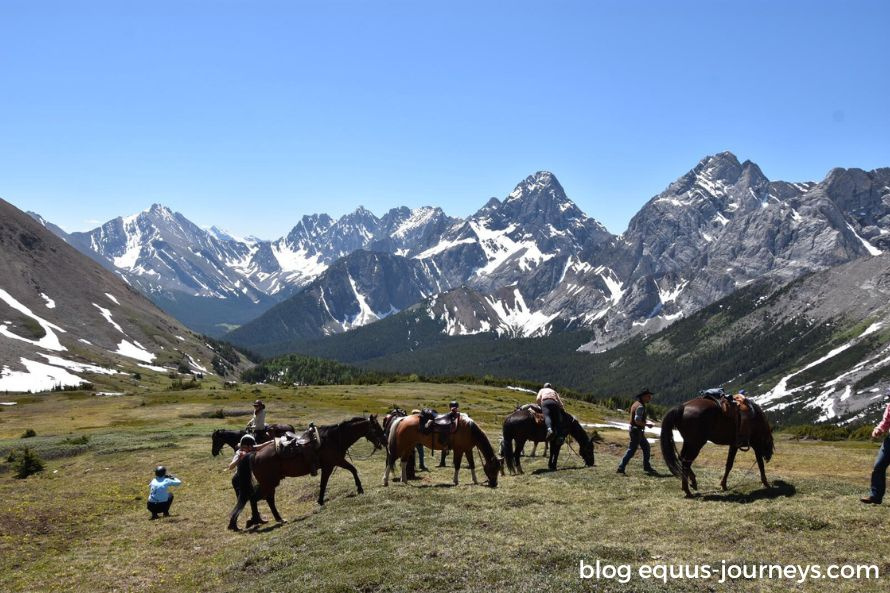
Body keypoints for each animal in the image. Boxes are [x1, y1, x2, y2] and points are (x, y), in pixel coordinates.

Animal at [227, 414, 384, 528]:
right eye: (377, 428)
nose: (383, 442)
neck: (333, 439)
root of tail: (254, 454)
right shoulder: (332, 464)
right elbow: (350, 471)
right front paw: (360, 489)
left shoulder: (332, 464)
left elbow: (329, 481)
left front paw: (320, 500)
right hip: (269, 482)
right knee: (257, 498)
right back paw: (261, 520)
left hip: (269, 482)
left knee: (265, 499)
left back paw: (270, 519)